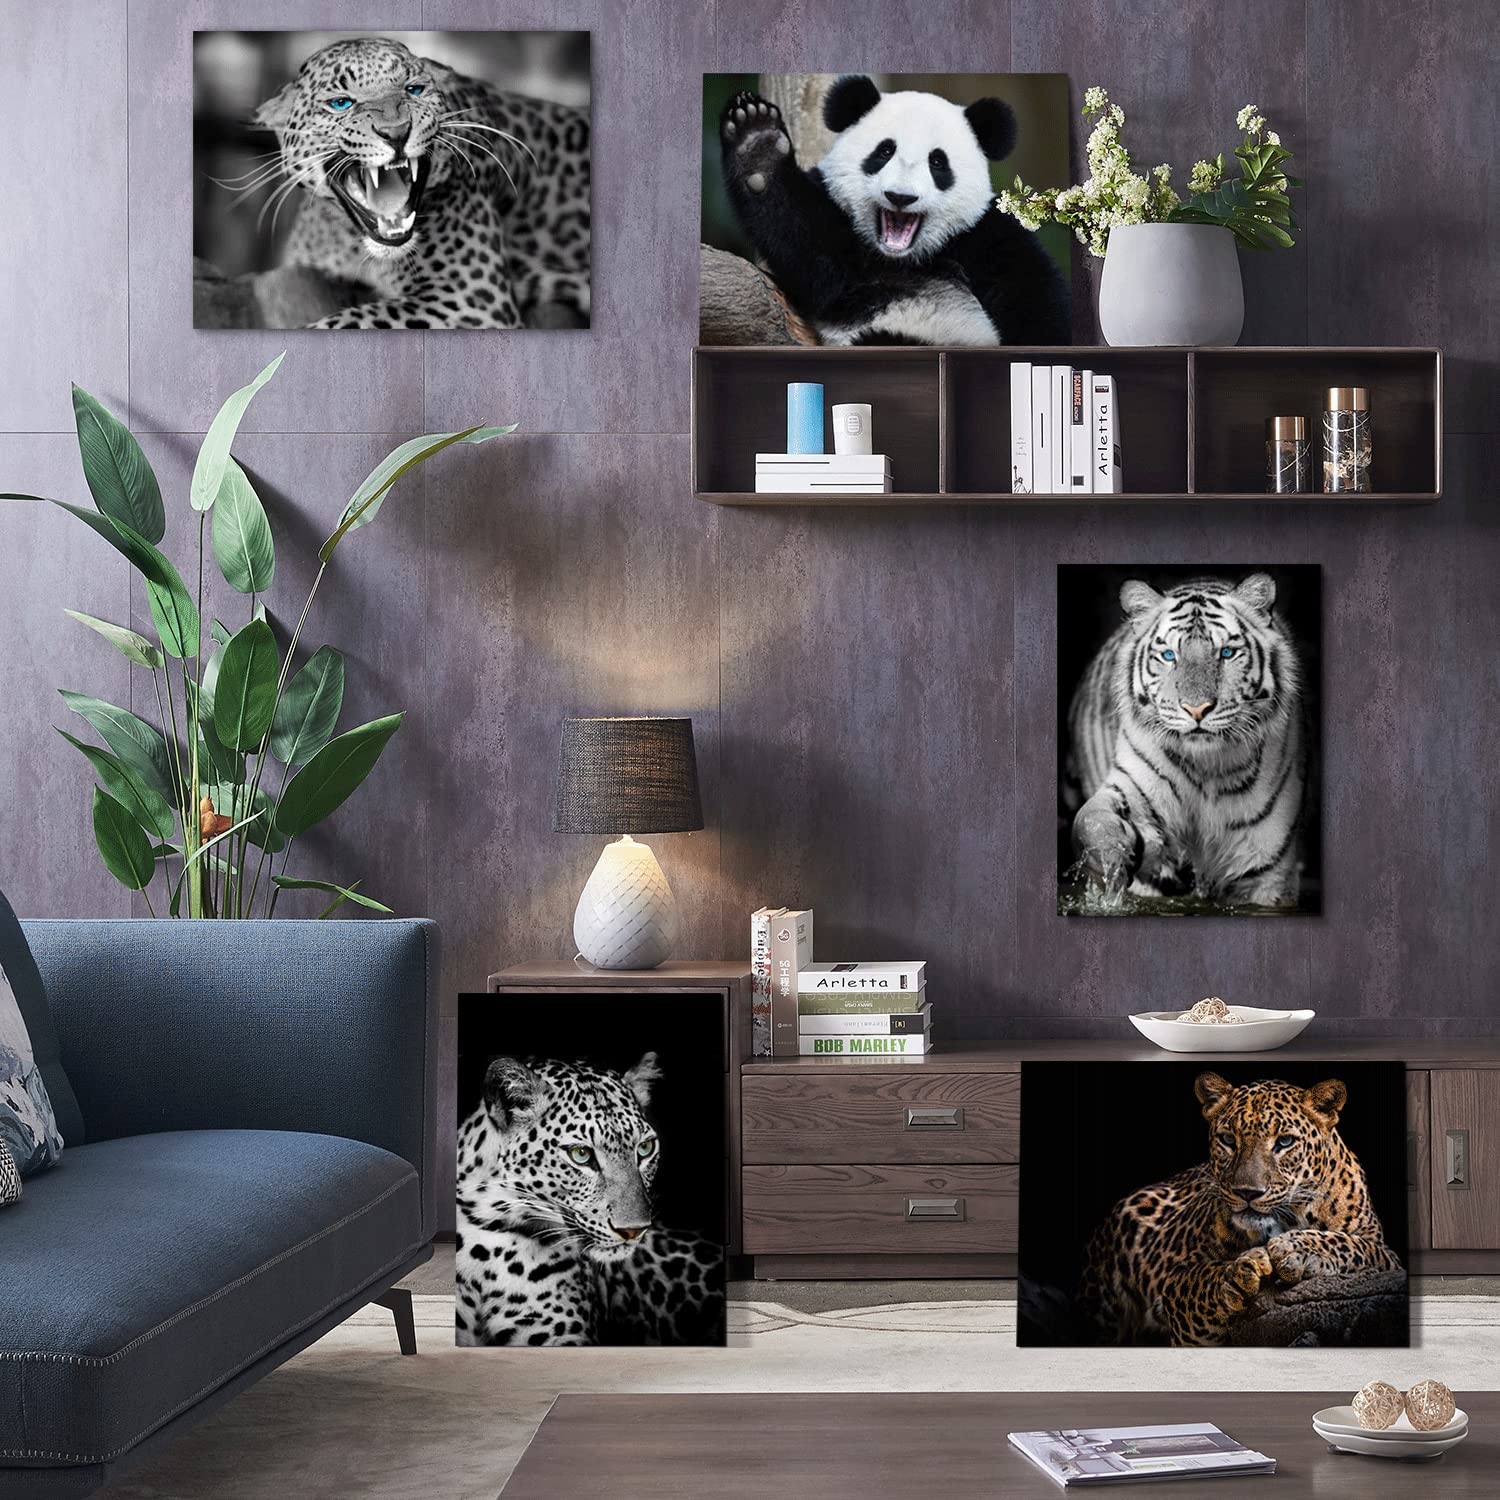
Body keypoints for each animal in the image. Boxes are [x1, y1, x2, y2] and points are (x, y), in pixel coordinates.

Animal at [250, 36, 590, 329]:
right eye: (341, 103)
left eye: (414, 89)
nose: (396, 131)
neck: (352, 243)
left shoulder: (473, 299)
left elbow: (350, 320)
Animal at [1078, 1071, 1403, 1346]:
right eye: (1227, 1140)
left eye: (1285, 1141)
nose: (1247, 1192)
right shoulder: (1174, 1285)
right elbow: (1196, 1280)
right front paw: (1234, 1276)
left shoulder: (1386, 1255)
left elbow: (1351, 1244)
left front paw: (1296, 1249)